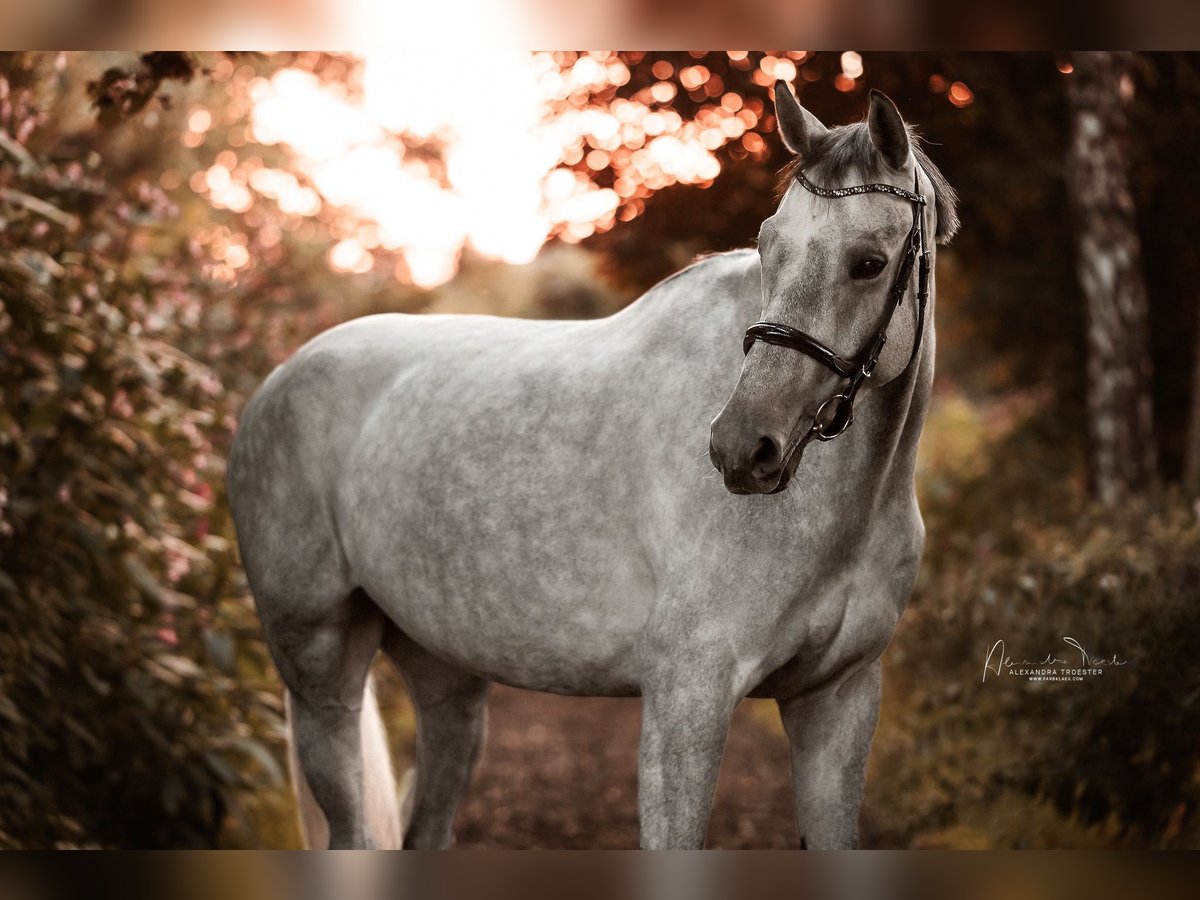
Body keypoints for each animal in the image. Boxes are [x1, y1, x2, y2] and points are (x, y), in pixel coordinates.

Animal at [226, 81, 955, 849]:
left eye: (868, 262)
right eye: (767, 245)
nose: (741, 446)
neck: (838, 514)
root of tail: (281, 380)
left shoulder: (838, 699)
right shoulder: (687, 695)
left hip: (446, 678)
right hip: (319, 670)